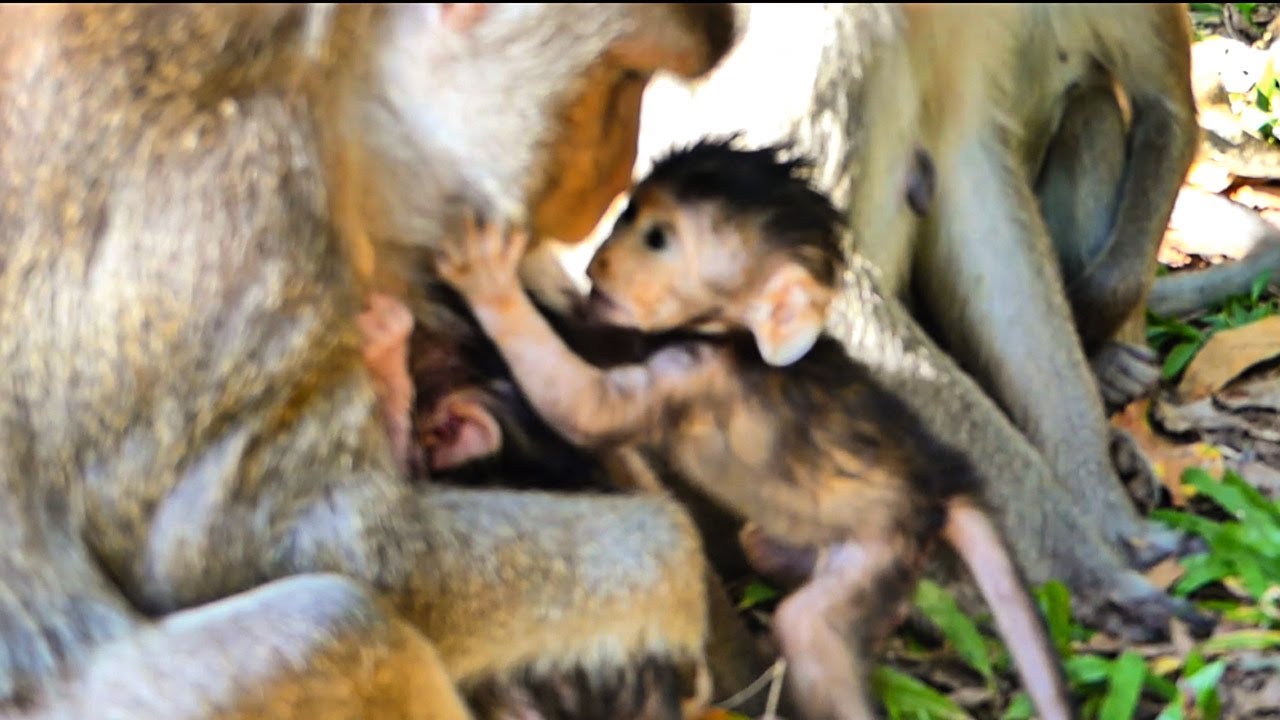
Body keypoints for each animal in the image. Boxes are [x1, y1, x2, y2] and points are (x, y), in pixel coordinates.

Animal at [0, 3, 738, 718]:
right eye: (625, 79)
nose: (615, 177)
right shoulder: (232, 201)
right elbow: (221, 550)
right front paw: (680, 587)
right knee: (340, 625)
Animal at [437, 138, 1075, 720]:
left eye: (657, 239)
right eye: (627, 215)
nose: (598, 263)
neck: (730, 334)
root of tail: (936, 480)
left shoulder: (698, 374)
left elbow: (585, 409)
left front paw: (491, 280)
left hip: (884, 541)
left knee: (812, 629)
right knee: (765, 549)